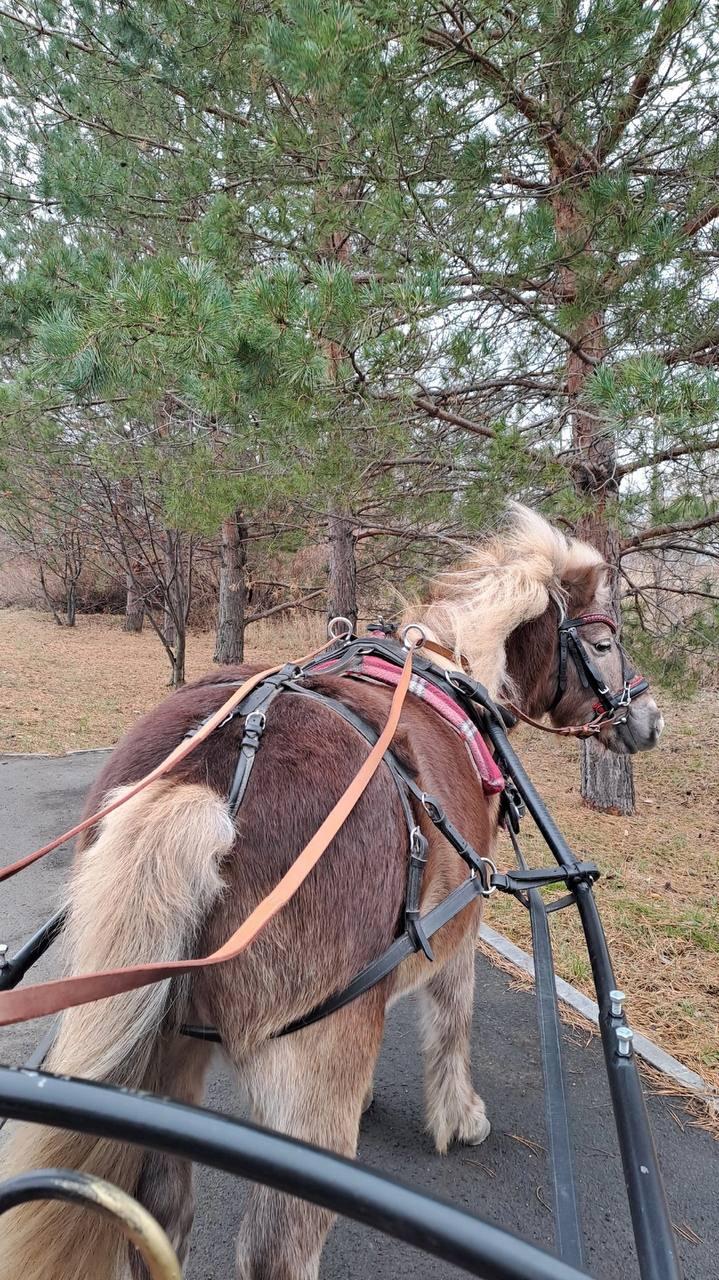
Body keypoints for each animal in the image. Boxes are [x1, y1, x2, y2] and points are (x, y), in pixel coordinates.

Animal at [0, 504, 660, 1280]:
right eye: (605, 640)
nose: (649, 717)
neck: (449, 669)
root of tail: (206, 782)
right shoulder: (463, 913)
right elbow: (452, 1015)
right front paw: (458, 1115)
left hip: (162, 1041)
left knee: (160, 1210)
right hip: (305, 1062)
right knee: (276, 1248)